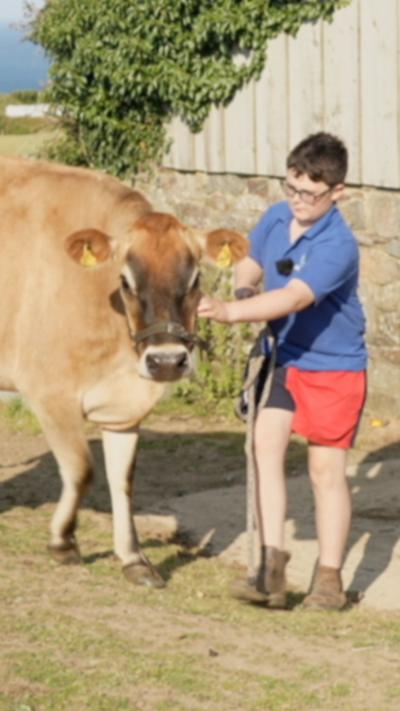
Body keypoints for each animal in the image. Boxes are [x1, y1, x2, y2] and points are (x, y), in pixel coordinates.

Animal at [0, 156, 247, 588]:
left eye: (195, 278)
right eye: (126, 280)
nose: (166, 361)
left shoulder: (125, 407)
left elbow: (123, 480)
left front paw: (133, 558)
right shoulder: (50, 393)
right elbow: (81, 470)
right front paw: (63, 542)